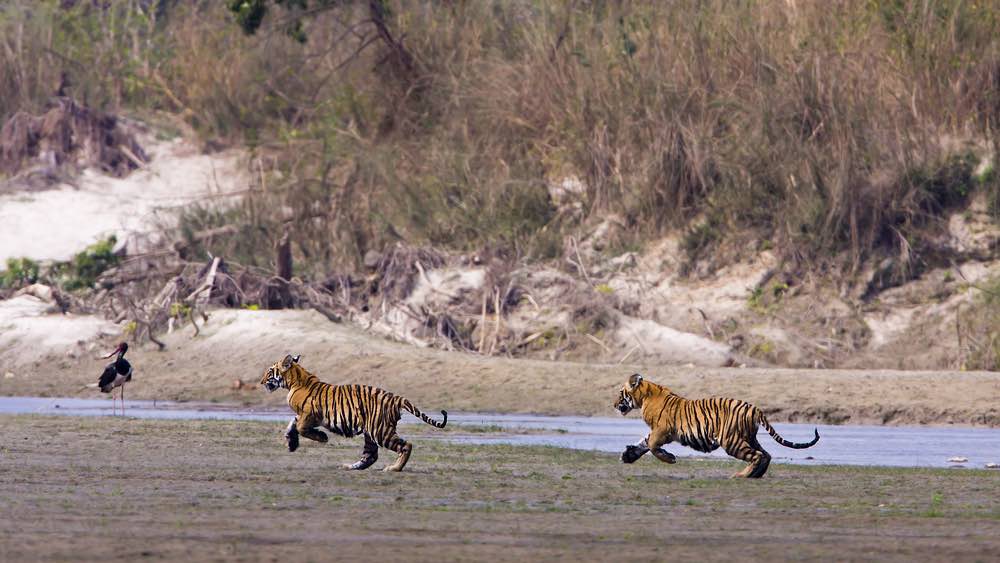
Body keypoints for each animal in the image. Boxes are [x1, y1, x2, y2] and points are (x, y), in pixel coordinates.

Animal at [260, 356, 448, 472]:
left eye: (270, 372)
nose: (261, 382)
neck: (294, 381)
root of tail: (396, 397)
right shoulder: (306, 416)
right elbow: (293, 423)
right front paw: (291, 443)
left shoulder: (310, 414)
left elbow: (300, 426)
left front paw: (321, 437)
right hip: (371, 433)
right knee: (370, 456)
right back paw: (350, 467)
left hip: (380, 431)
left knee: (406, 445)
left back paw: (394, 468)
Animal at [608, 372, 820, 478]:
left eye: (620, 393)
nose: (614, 404)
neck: (645, 396)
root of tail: (754, 408)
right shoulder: (657, 432)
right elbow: (644, 443)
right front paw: (628, 456)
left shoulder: (662, 430)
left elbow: (651, 445)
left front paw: (669, 458)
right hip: (748, 437)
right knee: (766, 455)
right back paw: (755, 475)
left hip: (731, 440)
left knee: (757, 456)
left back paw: (742, 475)